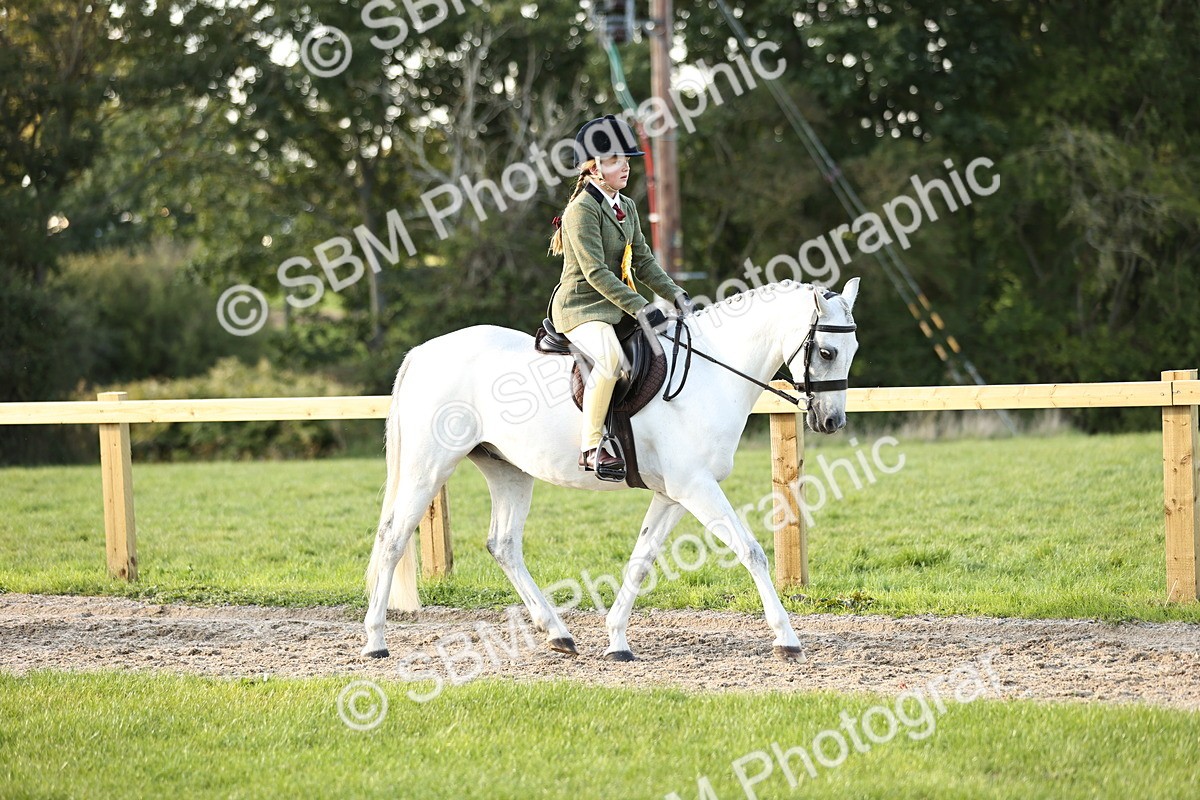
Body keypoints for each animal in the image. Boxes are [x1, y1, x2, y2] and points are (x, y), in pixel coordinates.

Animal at [362, 277, 860, 661]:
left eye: (852, 349)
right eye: (827, 351)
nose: (832, 422)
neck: (710, 375)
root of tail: (424, 352)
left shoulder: (672, 494)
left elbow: (641, 560)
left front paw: (617, 640)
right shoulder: (696, 487)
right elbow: (751, 551)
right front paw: (787, 639)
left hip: (508, 470)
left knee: (503, 545)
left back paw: (558, 634)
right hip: (429, 467)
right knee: (392, 539)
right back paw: (375, 642)